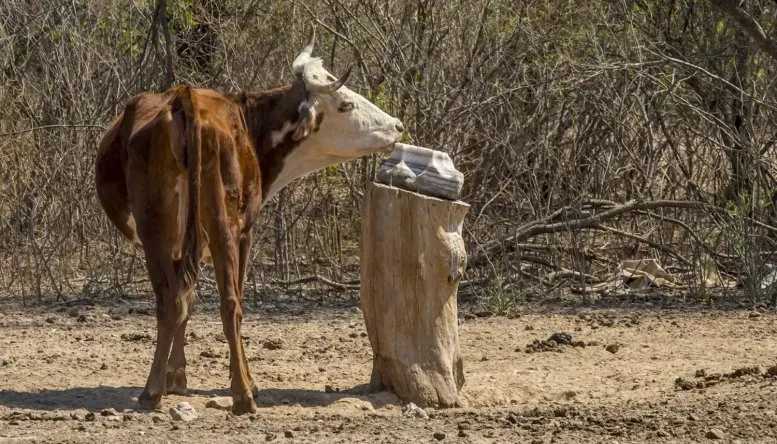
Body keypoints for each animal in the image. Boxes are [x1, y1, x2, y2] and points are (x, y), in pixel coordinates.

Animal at [94, 29, 404, 414]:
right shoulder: (246, 233)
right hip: (224, 227)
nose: (397, 126)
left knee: (169, 299)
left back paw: (151, 391)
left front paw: (175, 377)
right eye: (345, 104)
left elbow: (186, 300)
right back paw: (243, 395)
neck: (249, 123)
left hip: (156, 232)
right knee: (230, 303)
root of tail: (185, 99)